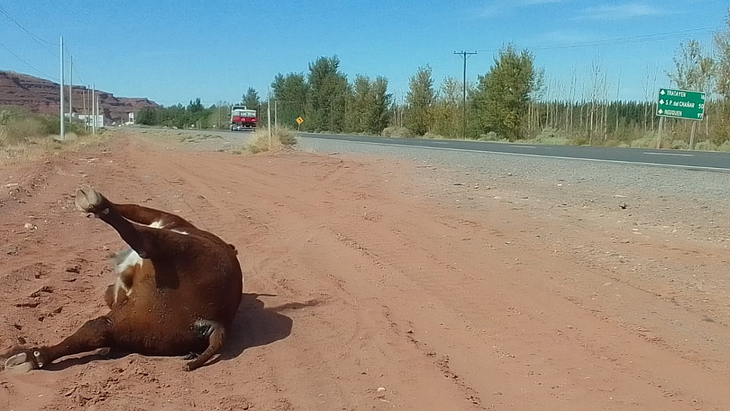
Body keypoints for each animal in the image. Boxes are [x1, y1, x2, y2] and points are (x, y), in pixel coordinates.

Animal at [3, 185, 244, 373]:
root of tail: (213, 322)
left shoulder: (163, 218)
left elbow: (133, 208)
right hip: (136, 325)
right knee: (96, 331)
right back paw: (31, 357)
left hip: (180, 249)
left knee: (146, 241)